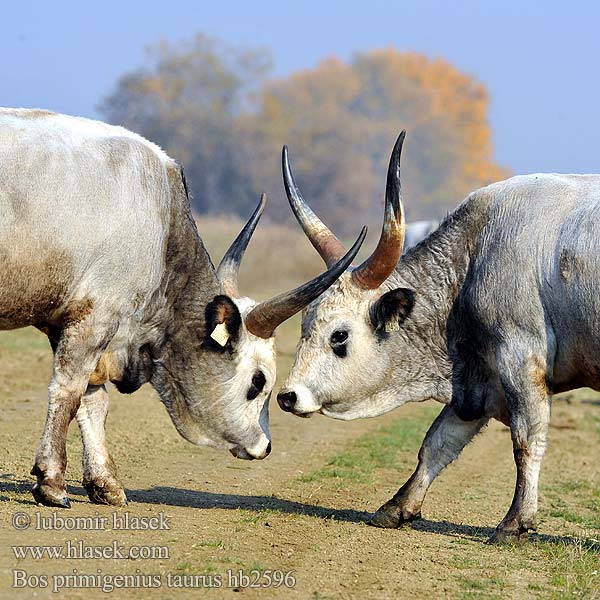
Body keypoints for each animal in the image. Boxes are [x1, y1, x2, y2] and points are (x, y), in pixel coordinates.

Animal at [0, 109, 366, 510]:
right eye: (258, 382)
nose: (265, 447)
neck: (161, 221)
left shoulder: (74, 326)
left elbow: (92, 401)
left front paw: (104, 482)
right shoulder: (94, 320)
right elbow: (69, 392)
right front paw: (51, 482)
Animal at [276, 132, 600, 544]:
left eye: (340, 335)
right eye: (304, 324)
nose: (288, 396)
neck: (476, 254)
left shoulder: (520, 361)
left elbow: (527, 440)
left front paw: (515, 522)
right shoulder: (479, 381)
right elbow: (437, 442)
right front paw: (398, 506)